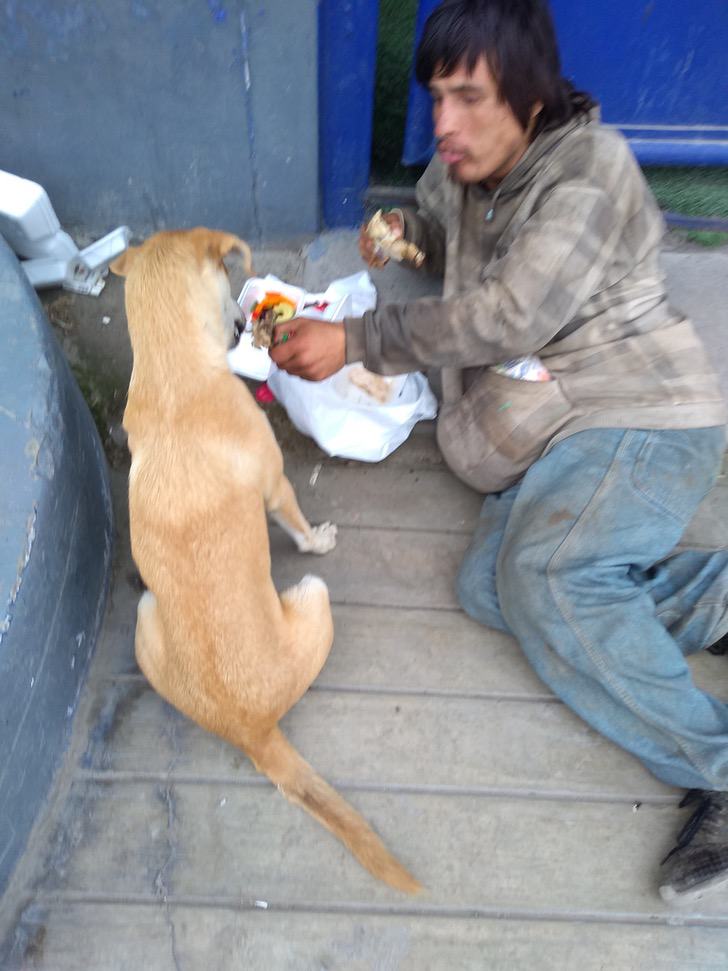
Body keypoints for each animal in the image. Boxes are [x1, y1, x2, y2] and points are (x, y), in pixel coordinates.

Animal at [113, 228, 420, 896]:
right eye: (229, 279)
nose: (239, 324)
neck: (172, 373)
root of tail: (251, 731)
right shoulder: (277, 488)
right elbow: (298, 529)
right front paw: (320, 535)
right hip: (315, 596)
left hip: (146, 617)